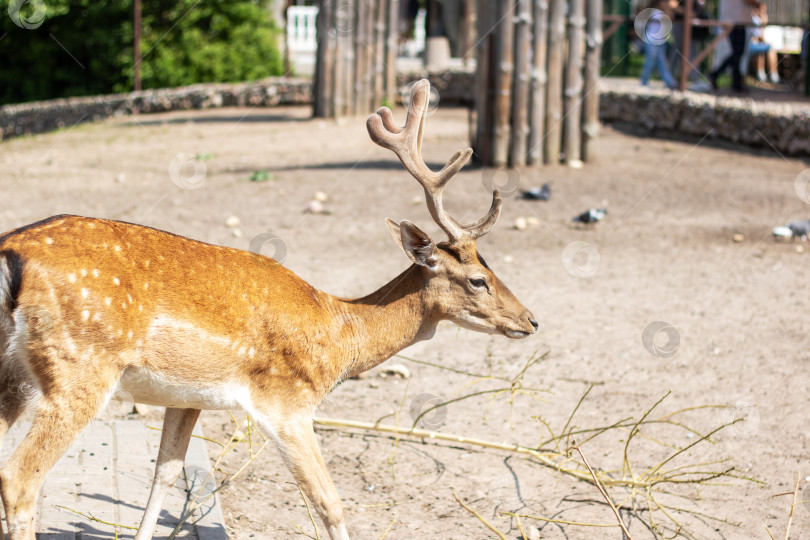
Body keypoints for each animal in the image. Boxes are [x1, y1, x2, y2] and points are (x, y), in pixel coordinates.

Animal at [0, 80, 536, 540]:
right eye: (478, 279)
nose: (531, 320)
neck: (340, 335)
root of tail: (11, 252)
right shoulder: (286, 403)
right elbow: (328, 502)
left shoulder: (188, 398)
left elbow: (164, 477)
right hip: (80, 370)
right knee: (19, 477)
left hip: (15, 375)